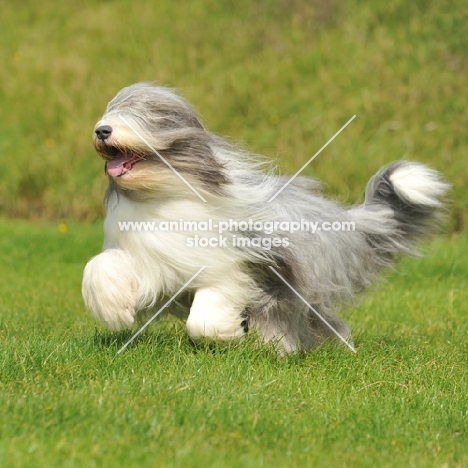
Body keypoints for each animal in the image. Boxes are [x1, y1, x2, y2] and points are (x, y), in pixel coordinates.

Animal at [81, 82, 450, 352]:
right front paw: (114, 312)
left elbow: (205, 315)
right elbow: (100, 266)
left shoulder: (233, 267)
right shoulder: (152, 258)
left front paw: (225, 335)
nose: (101, 130)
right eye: (111, 110)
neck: (163, 194)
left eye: (143, 114)